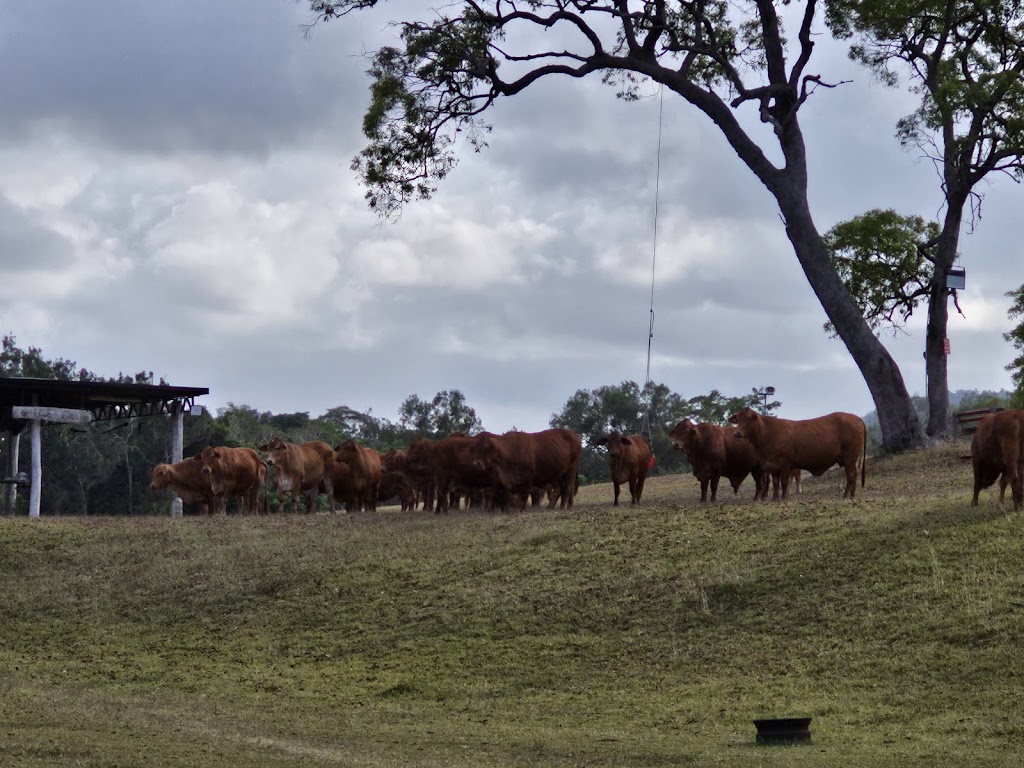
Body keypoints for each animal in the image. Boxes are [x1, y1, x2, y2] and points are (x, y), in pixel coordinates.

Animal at [728, 407, 867, 499]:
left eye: (748, 418)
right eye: (737, 419)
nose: (736, 433)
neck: (767, 434)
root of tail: (856, 417)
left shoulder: (785, 464)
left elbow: (784, 482)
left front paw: (783, 498)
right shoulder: (773, 466)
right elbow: (776, 483)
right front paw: (774, 498)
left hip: (850, 458)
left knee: (851, 475)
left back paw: (846, 495)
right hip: (852, 460)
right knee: (855, 474)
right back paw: (852, 495)